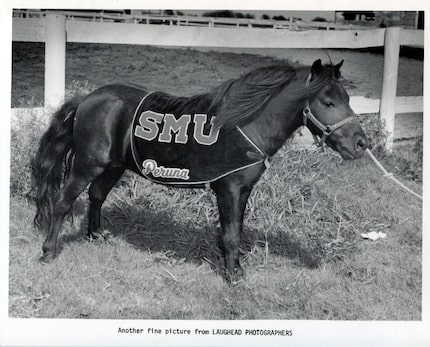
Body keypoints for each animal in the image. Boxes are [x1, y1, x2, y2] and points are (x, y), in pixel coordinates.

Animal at [31, 59, 368, 282]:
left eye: (348, 99)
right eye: (328, 102)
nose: (361, 144)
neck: (245, 125)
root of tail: (87, 98)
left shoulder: (243, 191)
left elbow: (235, 231)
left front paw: (235, 268)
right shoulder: (229, 189)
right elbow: (231, 235)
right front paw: (233, 277)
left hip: (113, 165)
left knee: (97, 195)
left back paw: (96, 237)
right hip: (88, 164)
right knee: (61, 202)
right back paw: (48, 251)